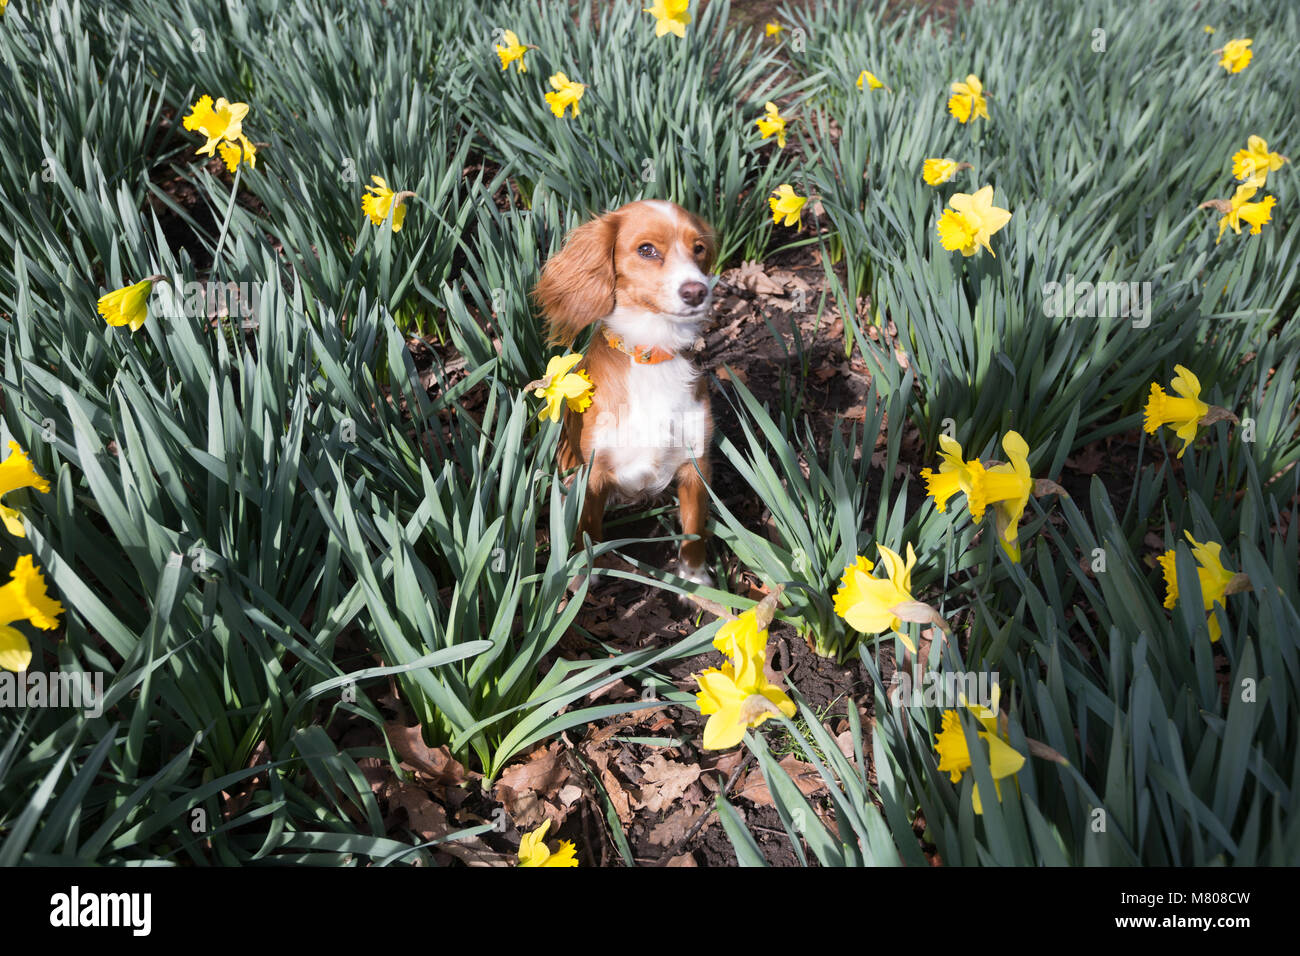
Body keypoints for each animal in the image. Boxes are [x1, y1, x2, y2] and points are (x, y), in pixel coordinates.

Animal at [535, 199, 722, 587]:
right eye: (646, 250)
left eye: (698, 248)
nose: (697, 291)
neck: (652, 354)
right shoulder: (591, 473)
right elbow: (587, 529)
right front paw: (582, 575)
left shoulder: (695, 464)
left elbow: (694, 531)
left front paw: (695, 580)